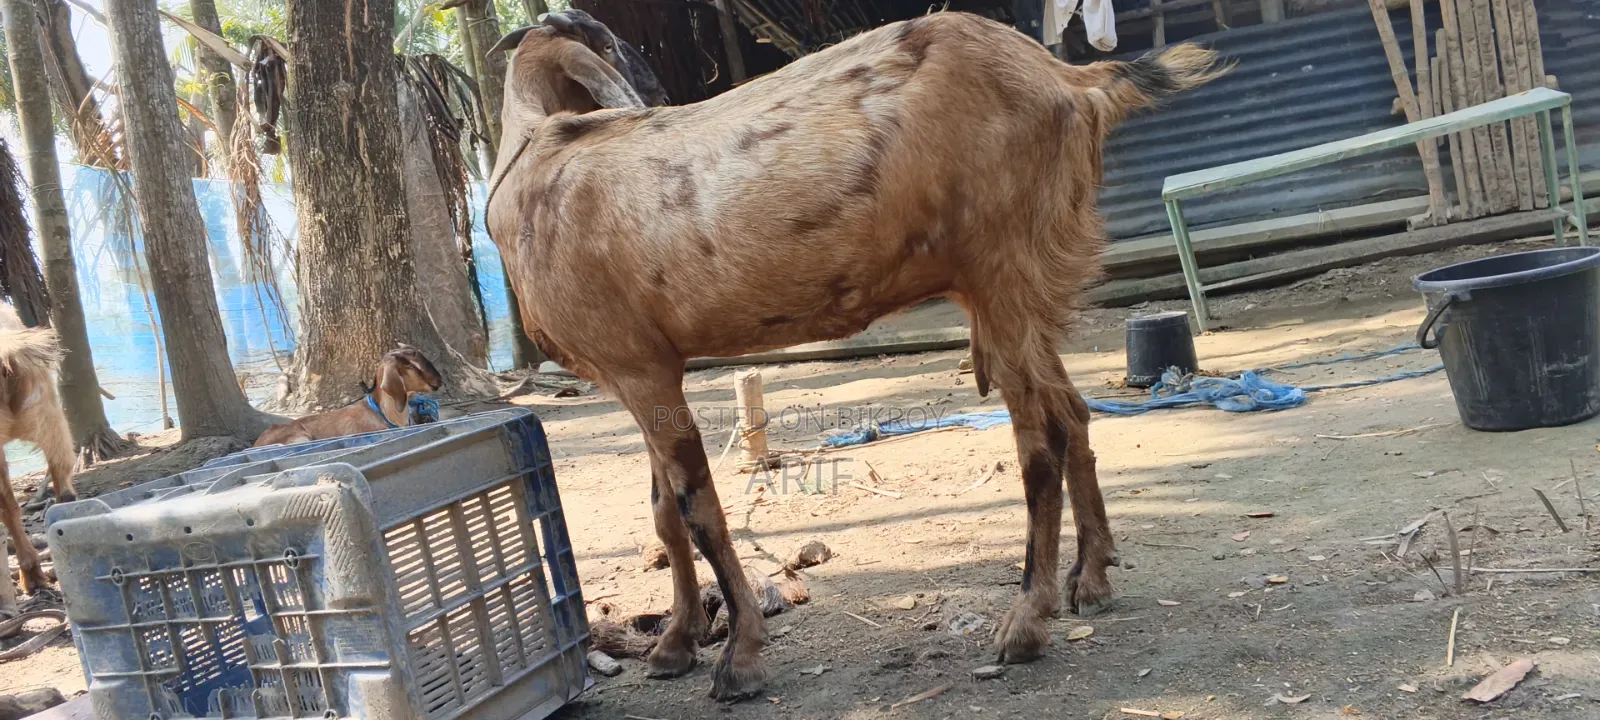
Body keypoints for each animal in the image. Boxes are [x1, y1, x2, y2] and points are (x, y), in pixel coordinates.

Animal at [486, 11, 1225, 700]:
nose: (660, 96)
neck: (530, 172)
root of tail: (1071, 81)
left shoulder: (640, 368)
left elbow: (699, 509)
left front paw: (739, 657)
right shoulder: (635, 366)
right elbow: (666, 513)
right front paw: (674, 644)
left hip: (1003, 262)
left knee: (1041, 435)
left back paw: (1024, 623)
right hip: (1021, 281)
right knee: (1072, 411)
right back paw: (1089, 578)